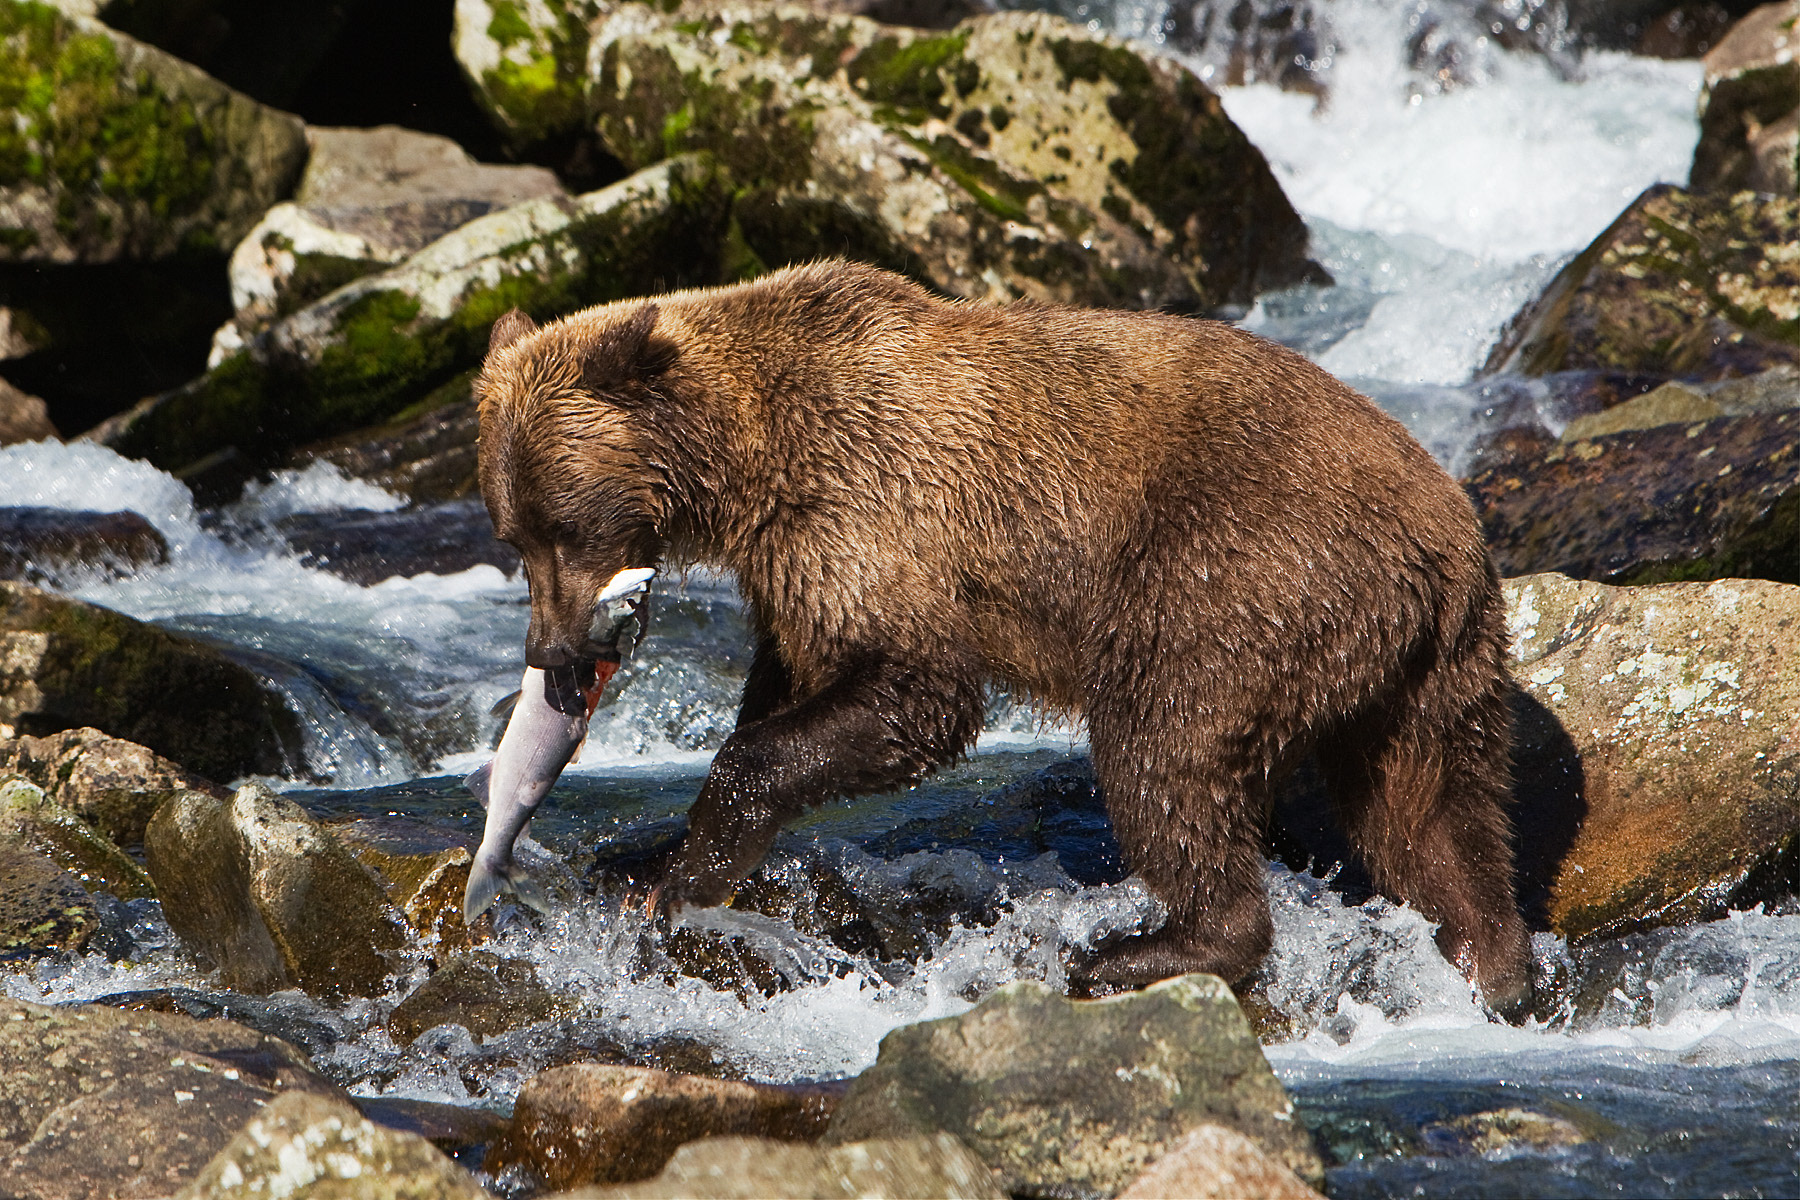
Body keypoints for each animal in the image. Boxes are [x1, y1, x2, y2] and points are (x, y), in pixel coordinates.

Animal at [474, 259, 1532, 1013]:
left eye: (566, 525)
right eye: (513, 535)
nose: (552, 656)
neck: (746, 460)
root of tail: (1442, 542)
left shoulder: (868, 504)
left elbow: (917, 694)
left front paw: (681, 877)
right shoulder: (794, 561)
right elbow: (796, 677)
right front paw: (657, 864)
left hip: (1234, 575)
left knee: (1164, 748)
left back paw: (1147, 948)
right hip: (1436, 666)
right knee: (1432, 813)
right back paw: (1488, 960)